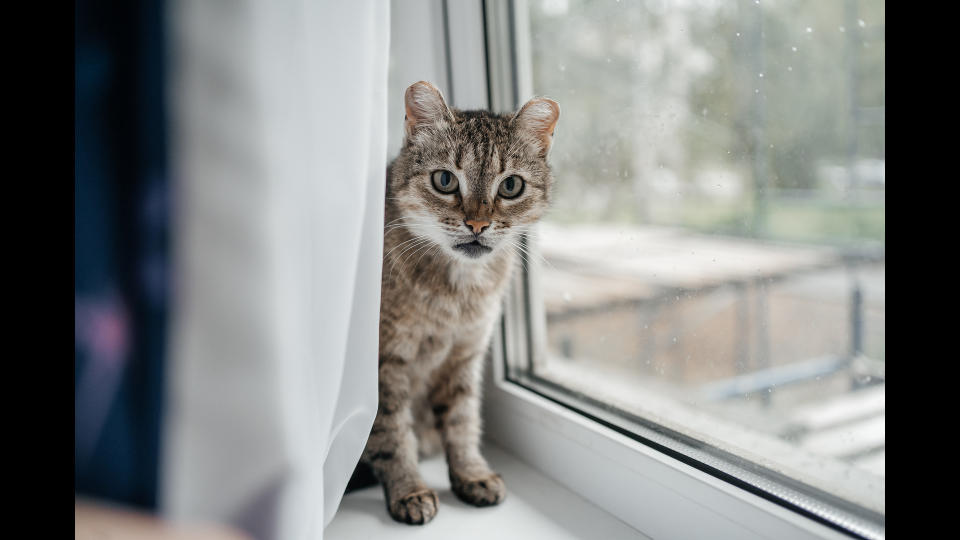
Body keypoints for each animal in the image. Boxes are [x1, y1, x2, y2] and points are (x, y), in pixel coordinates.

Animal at [356, 82, 560, 524]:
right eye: (445, 179)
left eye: (511, 186)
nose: (478, 224)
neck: (459, 294)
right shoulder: (384, 363)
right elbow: (392, 433)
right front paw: (409, 489)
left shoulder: (465, 355)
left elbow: (462, 421)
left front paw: (471, 473)